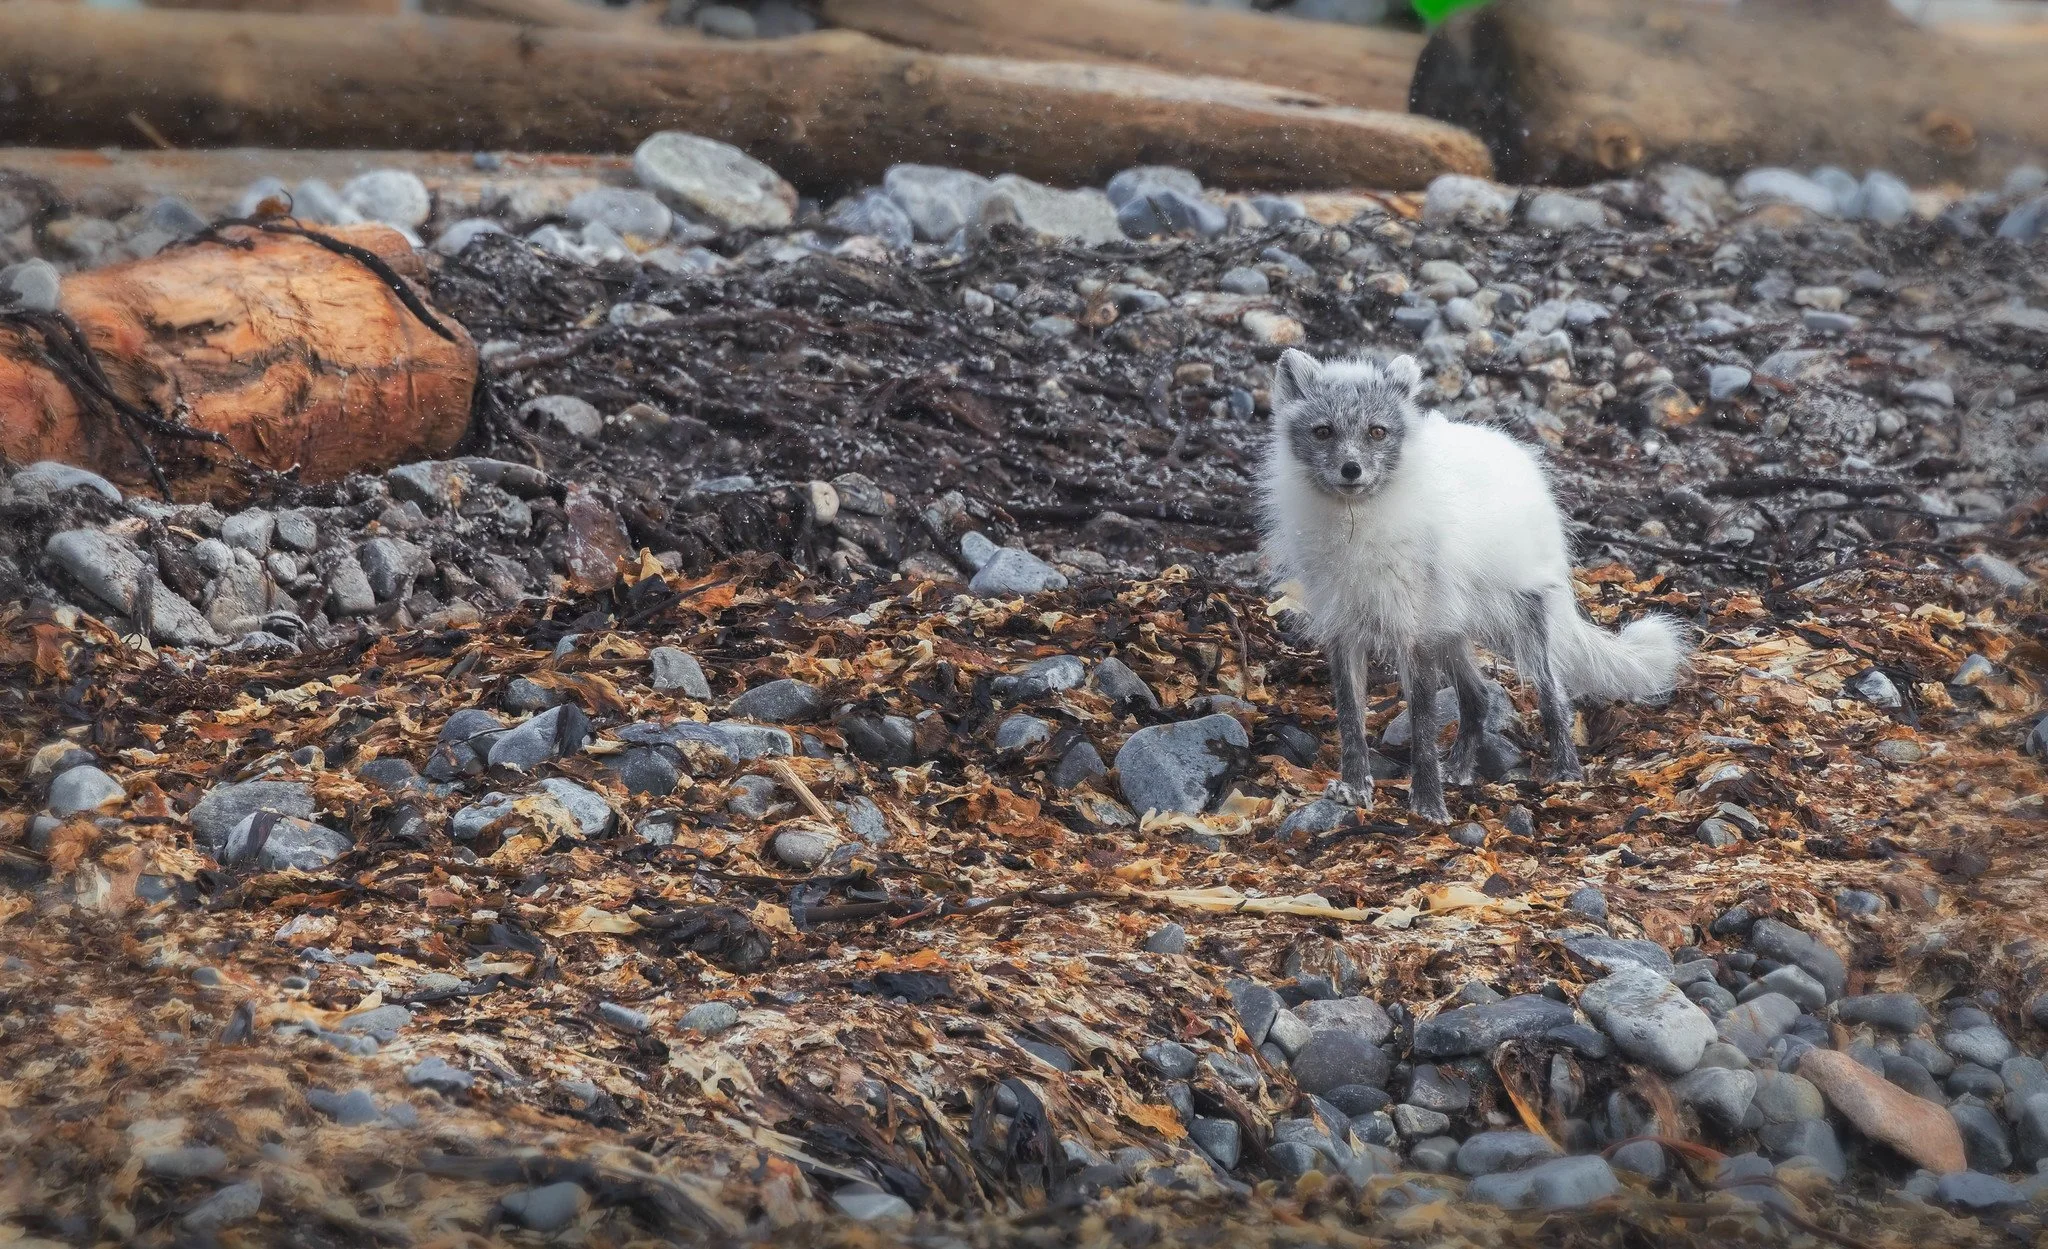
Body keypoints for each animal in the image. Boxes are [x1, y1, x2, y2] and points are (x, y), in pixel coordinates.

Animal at [1256, 348, 1689, 824]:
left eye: (1376, 432)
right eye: (1323, 432)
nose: (1351, 470)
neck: (1358, 526)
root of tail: (1514, 451)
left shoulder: (1413, 634)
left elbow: (1423, 724)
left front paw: (1427, 805)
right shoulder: (1344, 628)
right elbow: (1350, 718)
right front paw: (1354, 789)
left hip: (1516, 622)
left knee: (1553, 693)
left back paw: (1566, 772)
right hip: (1452, 628)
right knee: (1479, 696)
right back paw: (1460, 769)